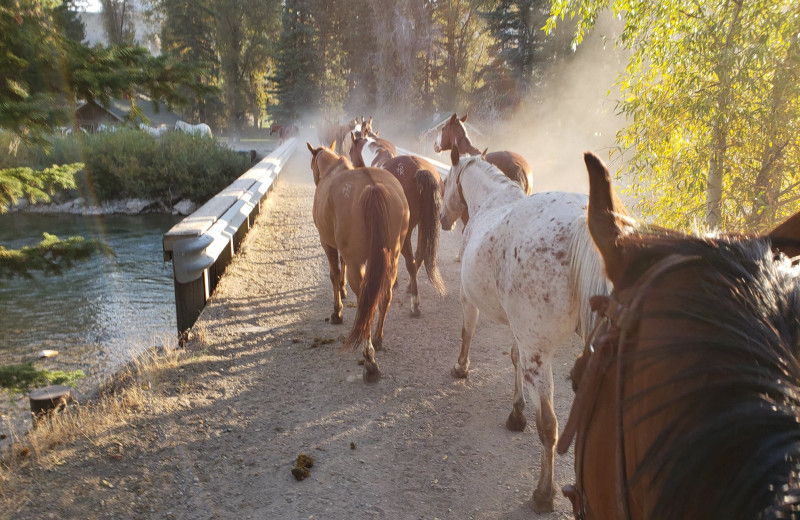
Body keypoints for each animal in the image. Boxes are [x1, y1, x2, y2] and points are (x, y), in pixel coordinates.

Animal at [304, 142, 410, 382]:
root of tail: (373, 187)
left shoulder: (328, 243)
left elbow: (334, 274)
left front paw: (337, 311)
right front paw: (343, 291)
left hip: (357, 263)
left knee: (366, 302)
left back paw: (369, 359)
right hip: (392, 259)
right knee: (385, 295)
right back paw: (377, 339)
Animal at [438, 145, 608, 512]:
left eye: (445, 183)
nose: (443, 219)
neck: (492, 200)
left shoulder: (467, 297)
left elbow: (467, 332)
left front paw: (461, 367)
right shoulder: (519, 331)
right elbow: (513, 356)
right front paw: (516, 412)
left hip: (540, 357)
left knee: (549, 426)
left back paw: (544, 493)